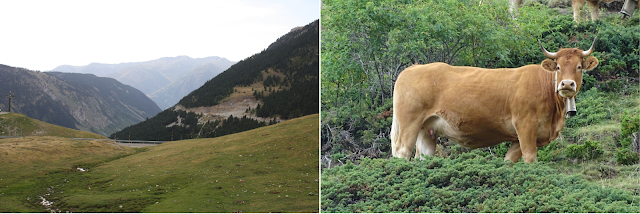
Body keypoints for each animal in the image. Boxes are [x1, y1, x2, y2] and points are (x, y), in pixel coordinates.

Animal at [390, 37, 600, 163]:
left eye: (579, 66)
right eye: (558, 67)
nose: (567, 84)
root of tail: (414, 67)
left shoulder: (517, 138)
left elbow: (508, 162)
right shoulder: (525, 126)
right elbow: (530, 158)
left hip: (427, 130)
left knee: (423, 156)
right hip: (409, 123)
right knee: (402, 151)